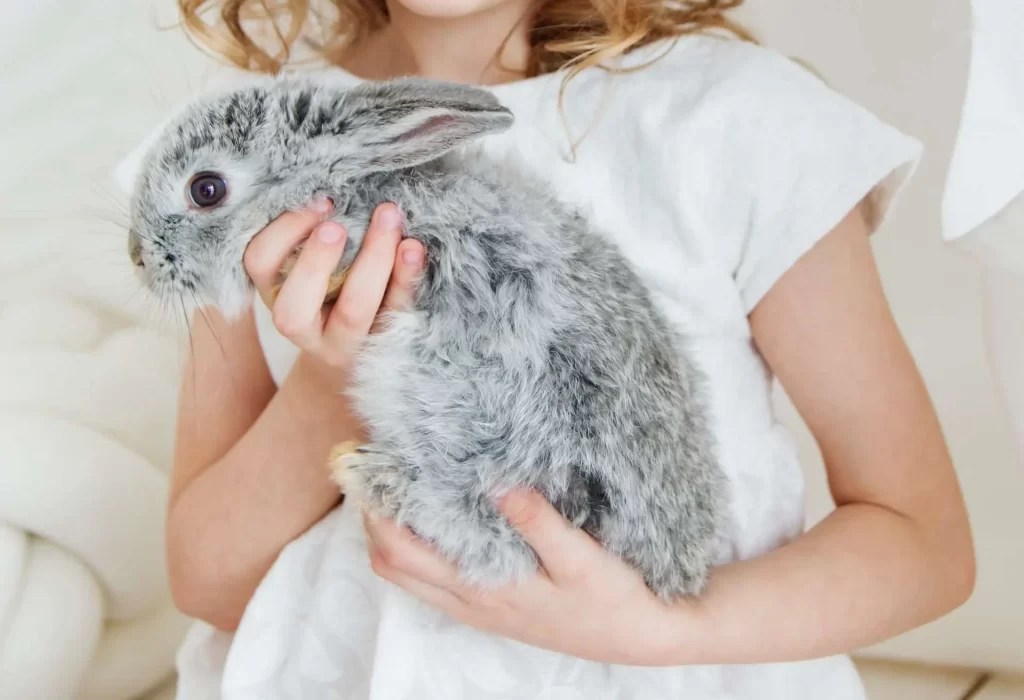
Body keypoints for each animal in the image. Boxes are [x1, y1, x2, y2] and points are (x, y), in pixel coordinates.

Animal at [127, 75, 727, 600]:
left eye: (206, 189)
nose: (137, 258)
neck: (354, 186)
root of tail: (677, 574)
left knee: (499, 542)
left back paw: (364, 471)